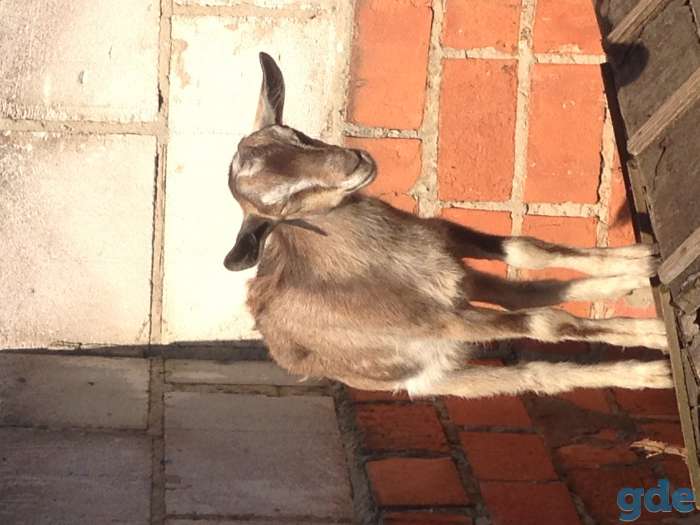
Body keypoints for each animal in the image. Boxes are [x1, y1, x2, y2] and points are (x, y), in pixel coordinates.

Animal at [223, 52, 672, 399]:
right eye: (282, 204)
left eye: (293, 134)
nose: (355, 162)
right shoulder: (443, 321)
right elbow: (550, 323)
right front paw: (660, 337)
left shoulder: (443, 237)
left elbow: (526, 250)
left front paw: (640, 261)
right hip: (437, 374)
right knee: (536, 372)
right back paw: (652, 372)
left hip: (460, 286)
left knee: (518, 293)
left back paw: (631, 280)